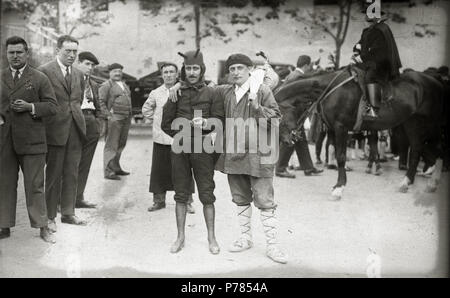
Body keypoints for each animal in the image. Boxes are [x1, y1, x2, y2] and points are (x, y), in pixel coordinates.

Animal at [272, 66, 444, 200]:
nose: (287, 139)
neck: (331, 89)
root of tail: (438, 83)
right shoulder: (334, 129)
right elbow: (336, 150)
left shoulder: (341, 127)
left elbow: (341, 156)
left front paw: (339, 188)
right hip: (412, 122)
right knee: (417, 149)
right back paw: (407, 182)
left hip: (432, 125)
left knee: (437, 149)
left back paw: (432, 182)